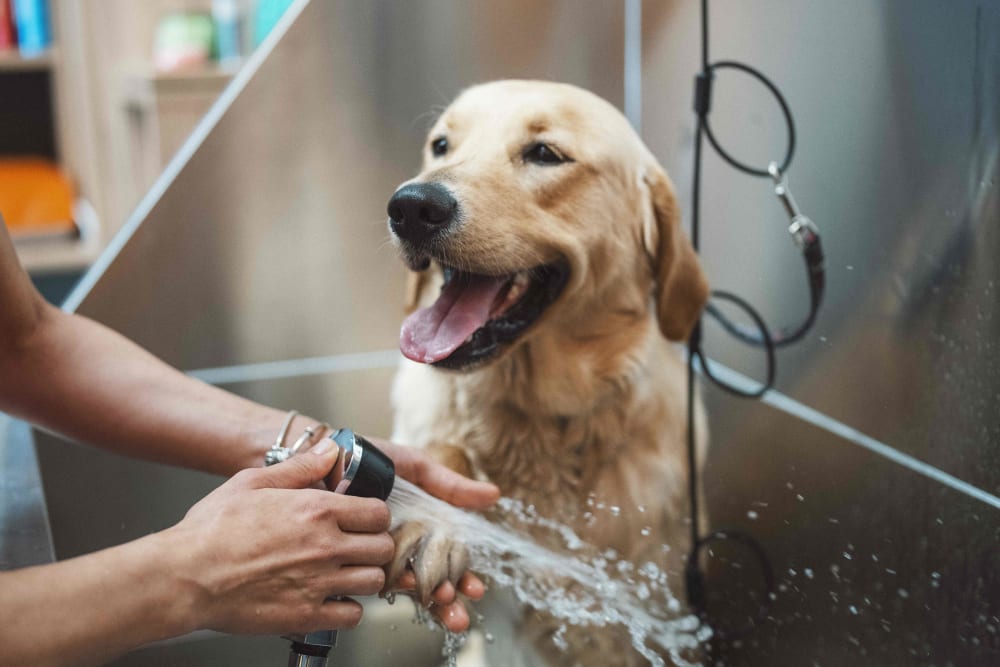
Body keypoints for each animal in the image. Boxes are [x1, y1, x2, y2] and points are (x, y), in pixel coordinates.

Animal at [384, 81, 712, 664]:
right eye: (441, 145)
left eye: (544, 153)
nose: (411, 206)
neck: (537, 420)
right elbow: (441, 453)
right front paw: (431, 518)